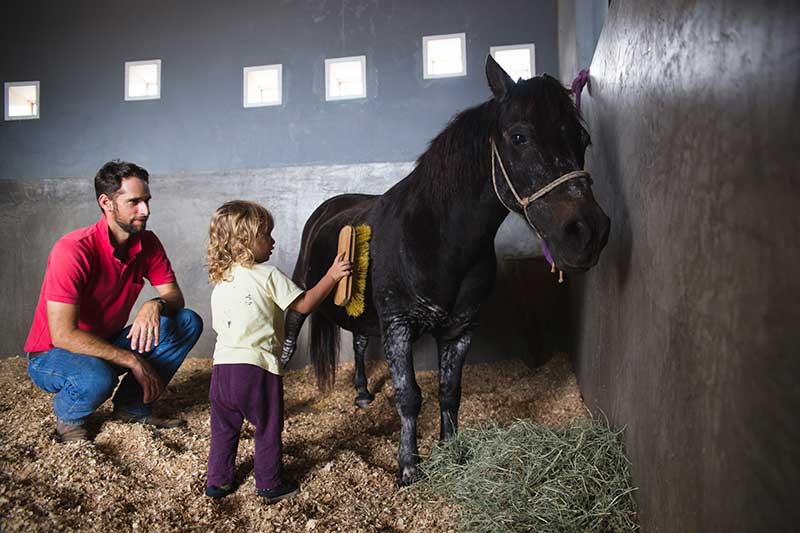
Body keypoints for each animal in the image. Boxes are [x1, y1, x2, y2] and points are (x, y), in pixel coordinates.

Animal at [284, 56, 608, 484]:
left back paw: (363, 393)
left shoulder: (459, 329)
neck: (438, 241)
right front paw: (408, 467)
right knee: (293, 325)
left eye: (582, 140)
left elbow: (449, 390)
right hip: (305, 291)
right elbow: (409, 396)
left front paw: (451, 450)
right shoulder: (399, 325)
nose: (588, 233)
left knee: (358, 342)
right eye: (519, 137)